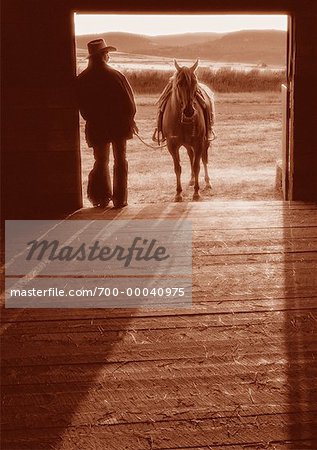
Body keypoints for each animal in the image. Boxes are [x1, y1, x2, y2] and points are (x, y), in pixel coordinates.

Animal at [159, 59, 214, 202]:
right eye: (179, 84)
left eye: (194, 82)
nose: (189, 111)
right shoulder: (172, 146)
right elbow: (177, 168)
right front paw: (178, 194)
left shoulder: (198, 143)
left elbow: (197, 166)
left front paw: (196, 192)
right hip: (188, 145)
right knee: (191, 156)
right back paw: (191, 180)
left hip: (204, 142)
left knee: (203, 159)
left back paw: (207, 182)